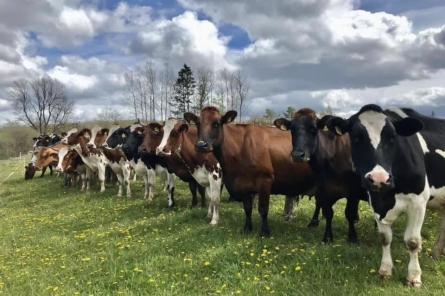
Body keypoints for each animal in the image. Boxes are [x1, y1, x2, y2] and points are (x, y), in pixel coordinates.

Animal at [184, 106, 316, 236]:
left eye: (216, 123)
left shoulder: (265, 180)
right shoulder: (244, 185)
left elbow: (263, 209)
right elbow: (247, 209)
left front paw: (264, 232)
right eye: (197, 123)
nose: (201, 145)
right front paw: (247, 229)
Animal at [272, 108, 366, 243]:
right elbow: (328, 213)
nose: (297, 155)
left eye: (313, 129)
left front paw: (352, 237)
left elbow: (349, 212)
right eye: (292, 130)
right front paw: (327, 237)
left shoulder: (353, 191)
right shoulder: (324, 190)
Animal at [326, 103, 444, 286]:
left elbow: (413, 241)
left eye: (392, 138)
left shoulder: (418, 202)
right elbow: (384, 237)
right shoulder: (376, 202)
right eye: (356, 138)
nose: (379, 178)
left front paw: (414, 277)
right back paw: (437, 253)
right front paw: (385, 270)